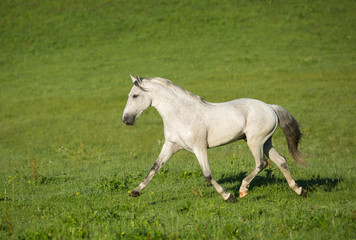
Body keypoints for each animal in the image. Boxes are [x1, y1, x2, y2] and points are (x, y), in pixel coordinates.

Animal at [122, 75, 306, 202]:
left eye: (135, 96)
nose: (126, 120)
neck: (181, 114)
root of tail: (270, 107)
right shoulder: (171, 145)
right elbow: (154, 167)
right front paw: (135, 191)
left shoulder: (199, 148)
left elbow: (207, 175)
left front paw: (228, 196)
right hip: (265, 142)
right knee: (281, 161)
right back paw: (299, 190)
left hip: (255, 142)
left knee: (261, 163)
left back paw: (243, 189)